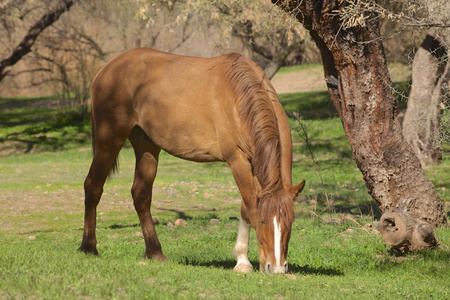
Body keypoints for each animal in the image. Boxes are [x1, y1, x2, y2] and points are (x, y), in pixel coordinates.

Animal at [80, 47, 306, 274]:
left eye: (290, 222)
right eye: (263, 221)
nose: (276, 268)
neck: (239, 98)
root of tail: (106, 68)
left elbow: (244, 207)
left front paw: (242, 258)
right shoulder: (238, 161)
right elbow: (250, 207)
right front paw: (244, 262)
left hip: (147, 147)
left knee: (141, 195)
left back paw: (154, 252)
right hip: (109, 140)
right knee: (93, 186)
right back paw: (88, 247)